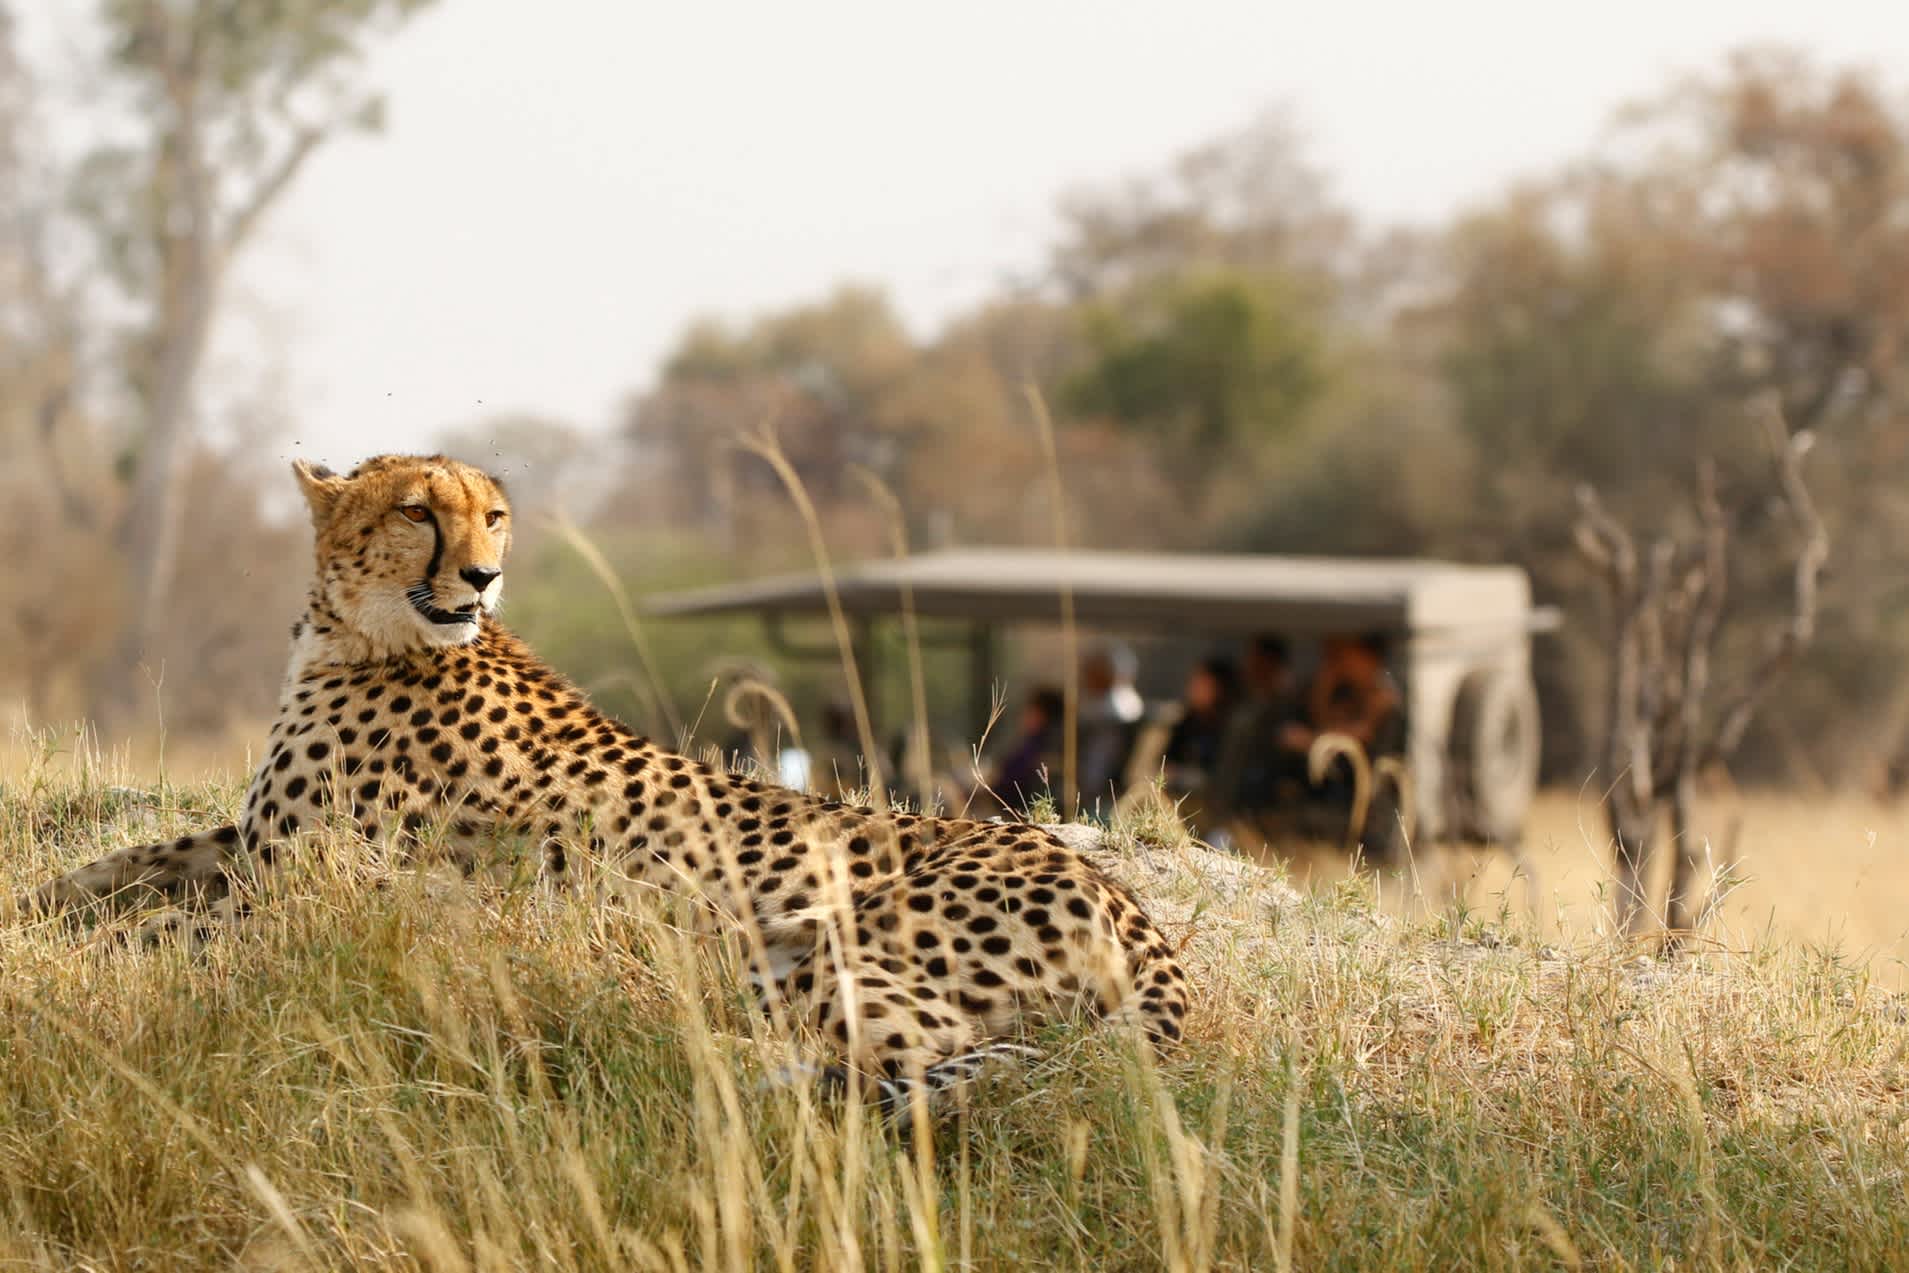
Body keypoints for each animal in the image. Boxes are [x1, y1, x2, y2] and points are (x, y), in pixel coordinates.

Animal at [22, 456, 1191, 1106]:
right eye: (416, 511)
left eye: (492, 515)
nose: (484, 573)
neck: (363, 630)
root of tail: (1124, 898)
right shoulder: (257, 840)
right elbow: (127, 863)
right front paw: (44, 903)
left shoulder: (314, 879)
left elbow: (165, 929)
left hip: (808, 942)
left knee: (926, 1053)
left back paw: (691, 1053)